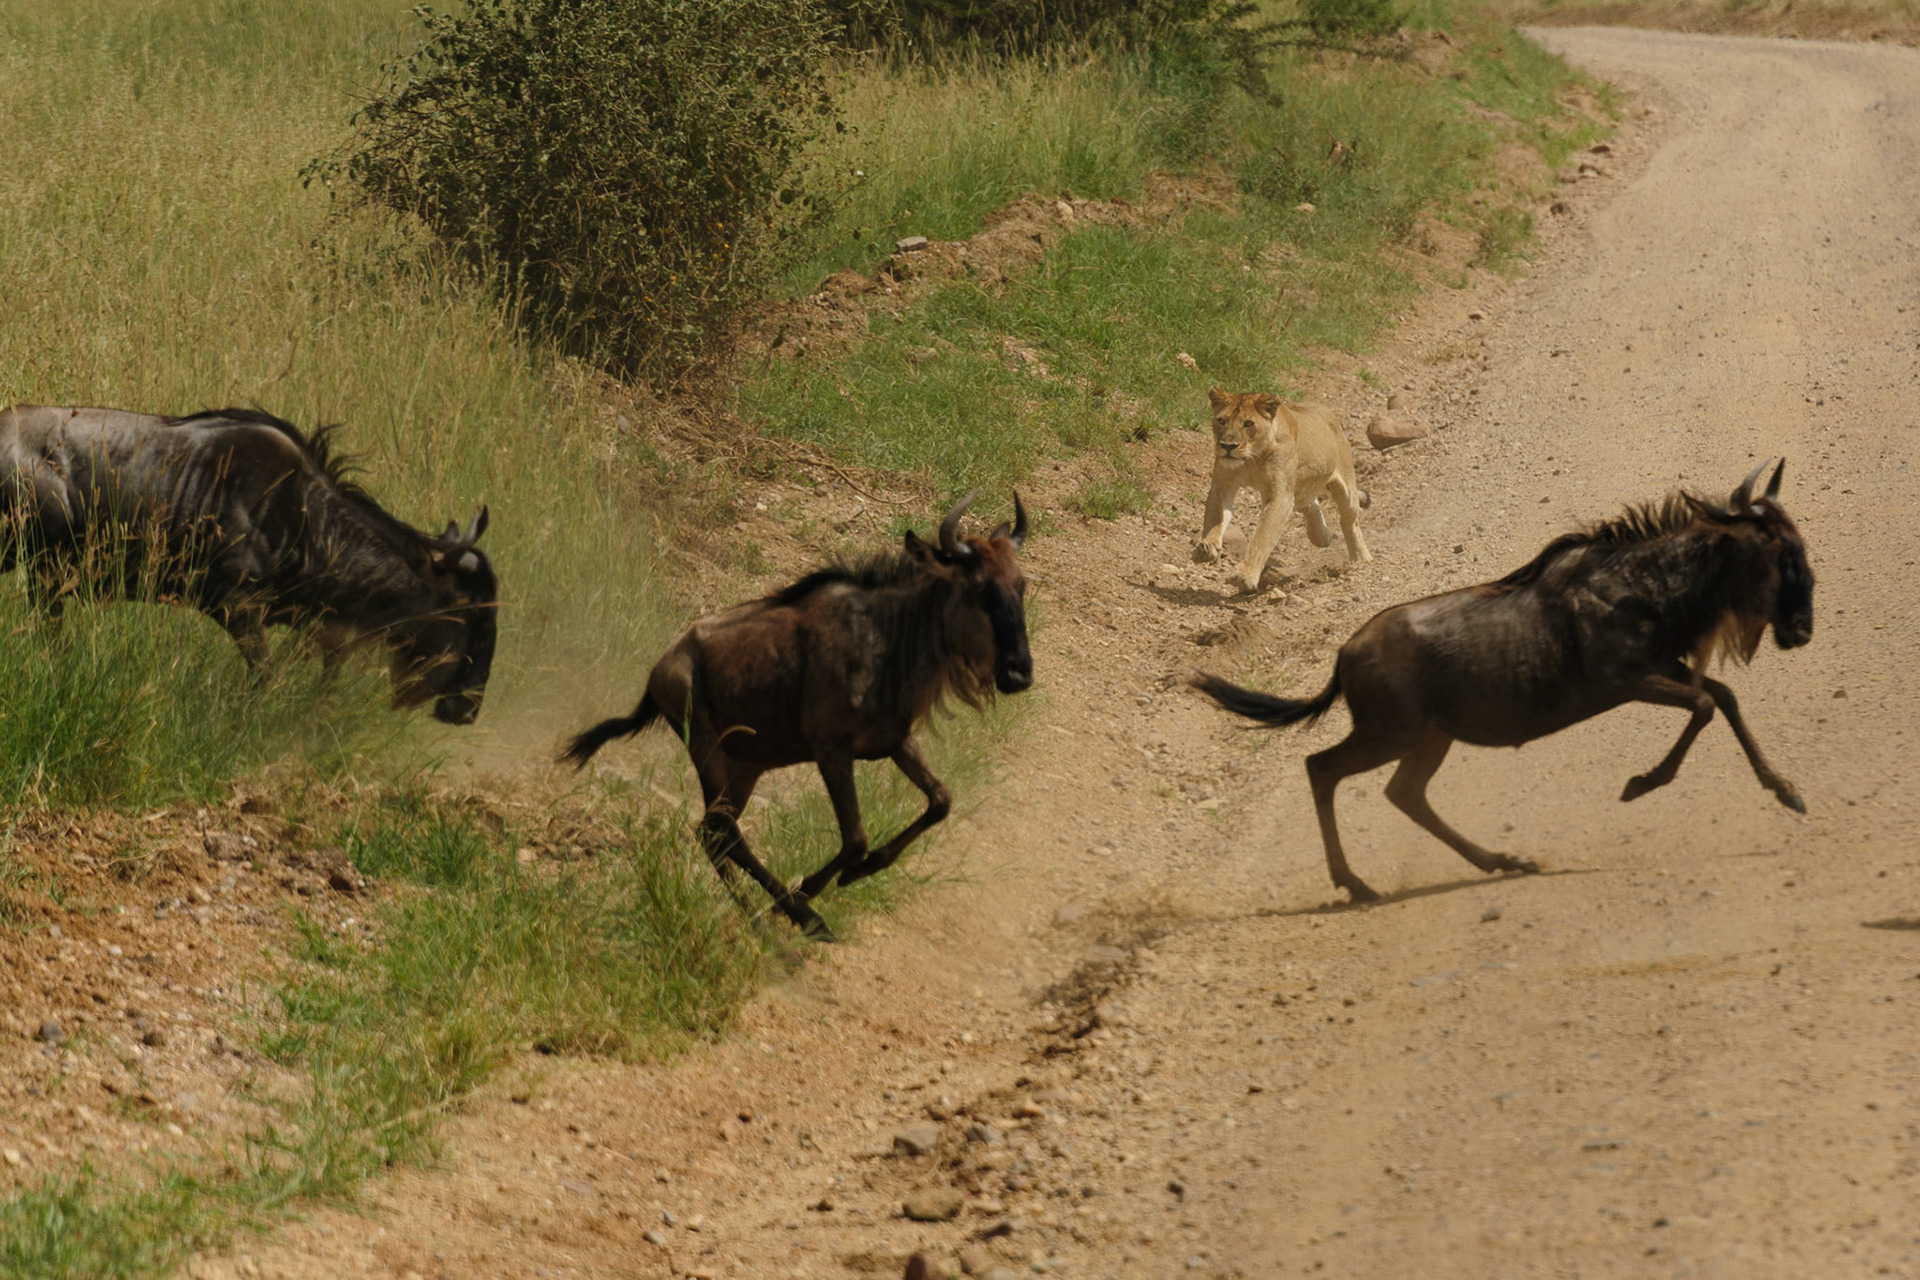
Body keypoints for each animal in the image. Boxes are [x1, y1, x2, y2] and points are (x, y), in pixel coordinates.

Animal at [1194, 388, 1371, 592]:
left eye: (1248, 424)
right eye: (1221, 421)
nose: (1227, 446)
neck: (1251, 459)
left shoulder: (1279, 497)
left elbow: (1263, 536)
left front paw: (1244, 575)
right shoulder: (1222, 486)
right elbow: (1216, 518)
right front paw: (1206, 548)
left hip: (1344, 487)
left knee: (1350, 522)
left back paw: (1362, 559)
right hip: (1300, 488)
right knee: (1311, 504)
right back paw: (1322, 537)